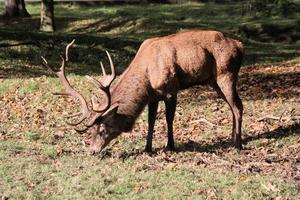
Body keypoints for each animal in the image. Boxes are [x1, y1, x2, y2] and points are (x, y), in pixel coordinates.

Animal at [42, 30, 244, 154]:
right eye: (91, 130)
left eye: (102, 129)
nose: (92, 151)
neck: (147, 78)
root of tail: (240, 45)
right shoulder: (153, 97)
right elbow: (151, 120)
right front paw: (148, 148)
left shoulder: (171, 89)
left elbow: (168, 119)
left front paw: (169, 146)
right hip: (214, 81)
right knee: (232, 106)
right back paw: (232, 138)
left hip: (226, 73)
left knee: (238, 106)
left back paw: (238, 144)